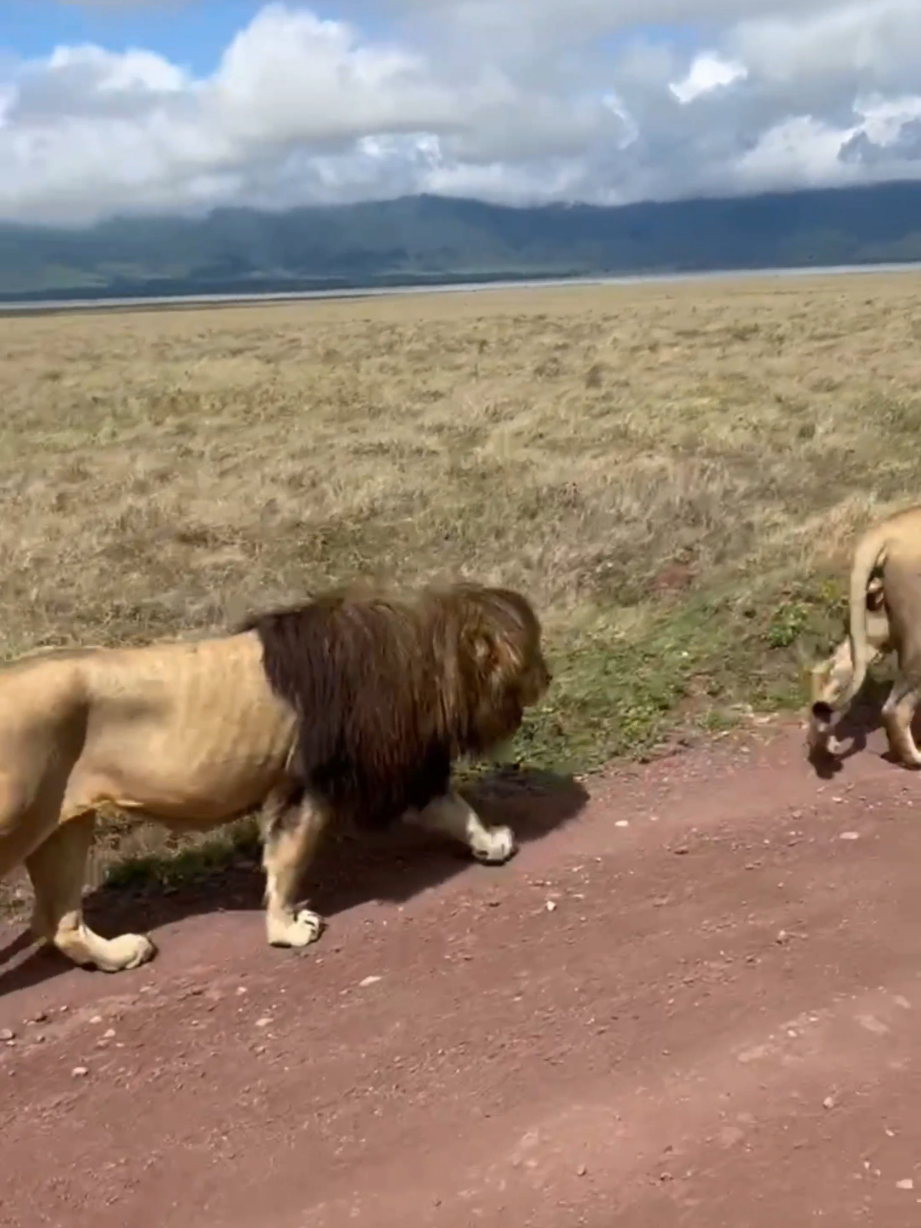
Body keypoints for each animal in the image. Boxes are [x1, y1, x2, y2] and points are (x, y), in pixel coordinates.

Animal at [0, 581, 551, 973]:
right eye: (533, 649)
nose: (548, 678)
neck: (420, 656)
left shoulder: (402, 768)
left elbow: (455, 809)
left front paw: (492, 842)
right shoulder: (310, 783)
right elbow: (288, 859)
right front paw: (287, 930)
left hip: (63, 825)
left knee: (57, 920)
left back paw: (120, 955)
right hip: (18, 817)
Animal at [807, 502, 921, 764]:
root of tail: (888, 526)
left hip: (872, 628)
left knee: (827, 670)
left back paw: (825, 741)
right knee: (894, 709)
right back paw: (915, 760)